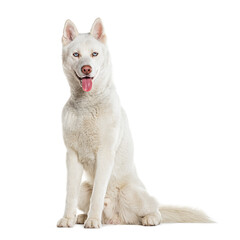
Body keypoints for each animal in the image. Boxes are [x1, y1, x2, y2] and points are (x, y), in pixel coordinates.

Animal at [56, 17, 212, 228]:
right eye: (76, 55)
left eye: (94, 54)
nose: (86, 68)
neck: (86, 105)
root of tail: (117, 218)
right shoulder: (72, 156)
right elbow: (69, 194)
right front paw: (68, 219)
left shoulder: (105, 154)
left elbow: (98, 194)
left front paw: (93, 221)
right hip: (84, 188)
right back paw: (83, 217)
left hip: (134, 195)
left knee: (156, 209)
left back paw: (148, 219)